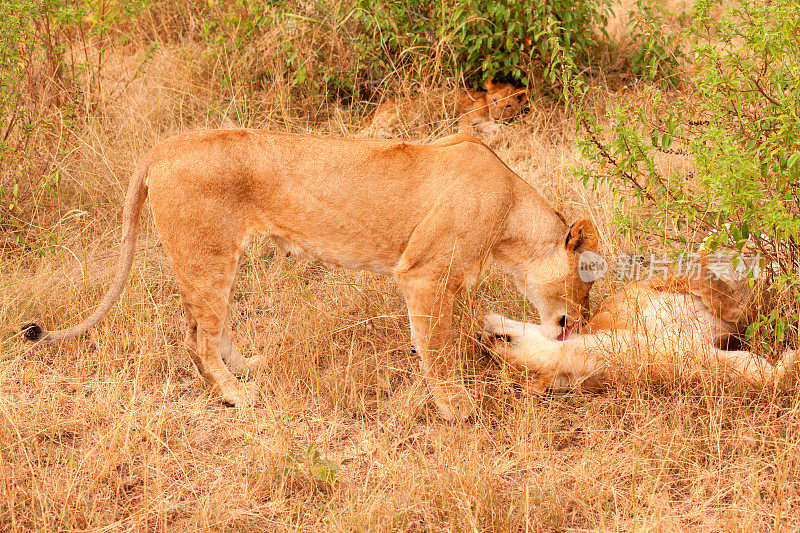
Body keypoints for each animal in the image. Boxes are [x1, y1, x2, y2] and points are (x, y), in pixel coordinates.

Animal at [20, 130, 592, 420]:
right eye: (589, 282)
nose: (584, 322)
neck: (511, 212)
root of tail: (164, 147)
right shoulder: (425, 275)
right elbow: (439, 349)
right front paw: (458, 408)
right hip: (207, 255)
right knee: (196, 339)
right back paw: (237, 396)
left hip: (216, 260)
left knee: (210, 328)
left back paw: (248, 369)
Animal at [360, 79, 528, 138]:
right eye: (495, 101)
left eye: (508, 106)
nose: (498, 117)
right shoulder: (465, 114)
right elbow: (467, 129)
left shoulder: (483, 123)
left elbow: (496, 128)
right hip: (399, 114)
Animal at [482, 264, 800, 388]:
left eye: (501, 342)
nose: (483, 334)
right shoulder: (707, 362)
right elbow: (769, 377)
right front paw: (792, 361)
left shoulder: (657, 285)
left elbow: (728, 299)